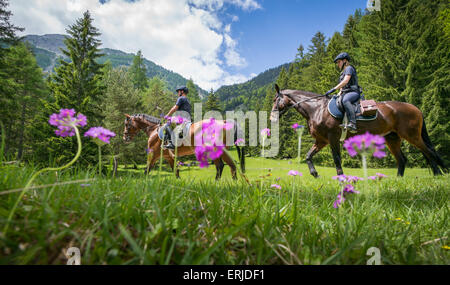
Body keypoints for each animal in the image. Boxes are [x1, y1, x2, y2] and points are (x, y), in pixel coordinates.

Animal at [268, 83, 448, 176]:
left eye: (276, 100)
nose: (271, 118)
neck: (317, 108)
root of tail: (415, 108)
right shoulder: (321, 141)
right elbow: (308, 156)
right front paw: (314, 173)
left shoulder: (332, 138)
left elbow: (336, 159)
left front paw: (341, 178)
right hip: (392, 138)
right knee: (403, 159)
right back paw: (399, 179)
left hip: (411, 135)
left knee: (429, 152)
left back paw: (438, 174)